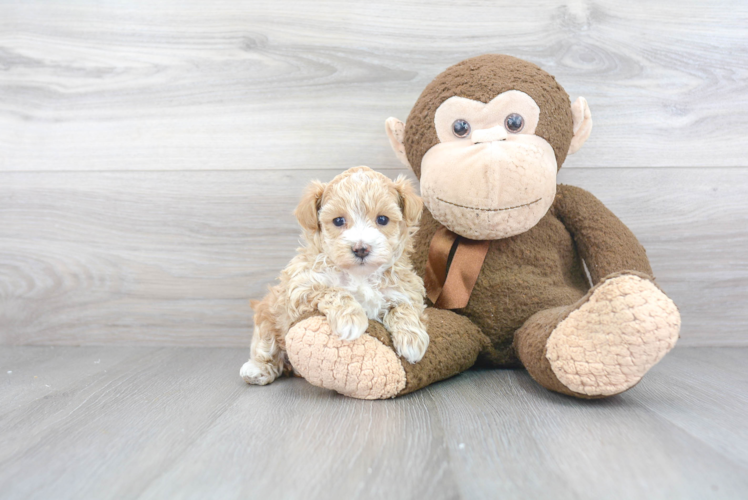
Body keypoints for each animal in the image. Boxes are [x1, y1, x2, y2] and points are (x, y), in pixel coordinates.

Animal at [240, 166, 426, 384]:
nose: (361, 248)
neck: (360, 275)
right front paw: (351, 319)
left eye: (382, 219)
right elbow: (334, 291)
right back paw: (257, 369)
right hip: (268, 315)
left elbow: (405, 307)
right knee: (266, 346)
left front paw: (412, 339)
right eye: (338, 221)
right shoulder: (300, 287)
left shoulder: (405, 289)